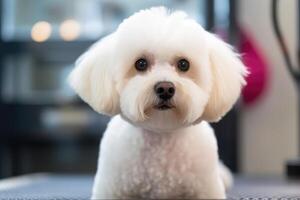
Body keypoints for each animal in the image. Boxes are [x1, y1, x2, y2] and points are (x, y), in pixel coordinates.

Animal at [68, 7, 246, 199]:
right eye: (140, 63)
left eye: (184, 64)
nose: (165, 88)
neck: (161, 138)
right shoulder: (111, 189)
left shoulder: (206, 189)